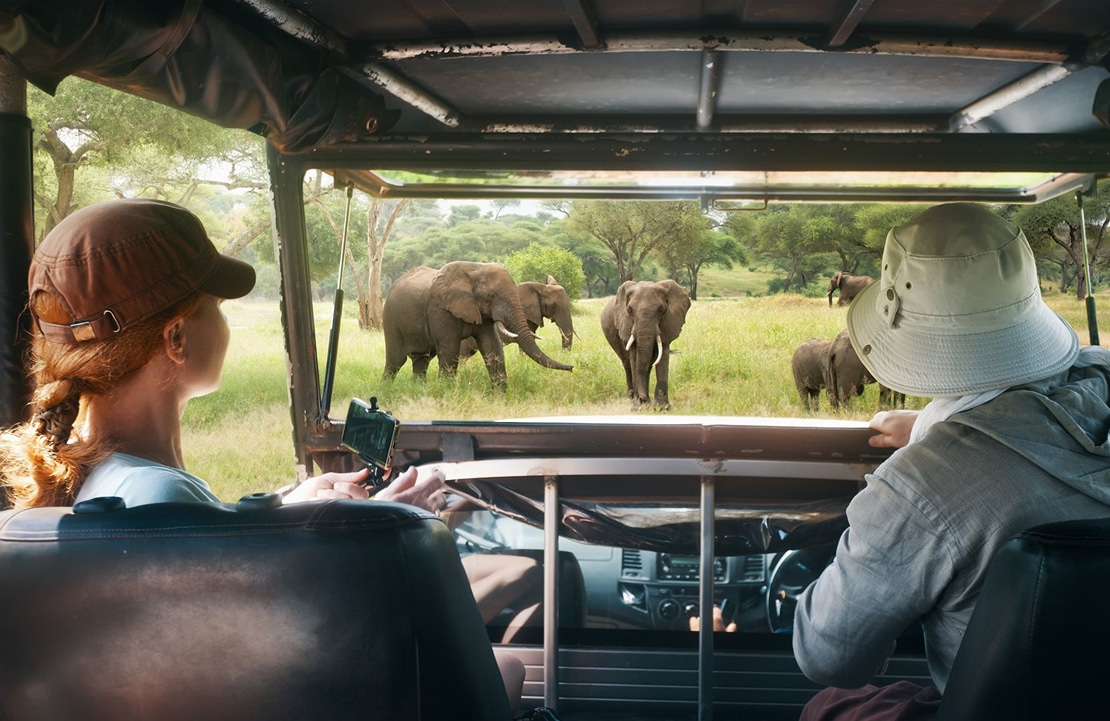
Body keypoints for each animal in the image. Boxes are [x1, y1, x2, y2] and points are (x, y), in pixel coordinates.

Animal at [381, 260, 572, 390]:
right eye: (492, 296)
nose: (571, 367)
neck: (476, 269)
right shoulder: (441, 310)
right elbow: (449, 350)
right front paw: (446, 392)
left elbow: (492, 346)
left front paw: (499, 396)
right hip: (390, 318)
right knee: (395, 361)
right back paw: (386, 390)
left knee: (422, 360)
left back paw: (419, 390)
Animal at [603, 278, 688, 408]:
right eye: (629, 310)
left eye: (661, 310)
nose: (642, 398)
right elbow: (634, 357)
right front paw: (638, 407)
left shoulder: (668, 322)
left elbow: (663, 354)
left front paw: (662, 408)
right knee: (627, 364)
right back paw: (632, 398)